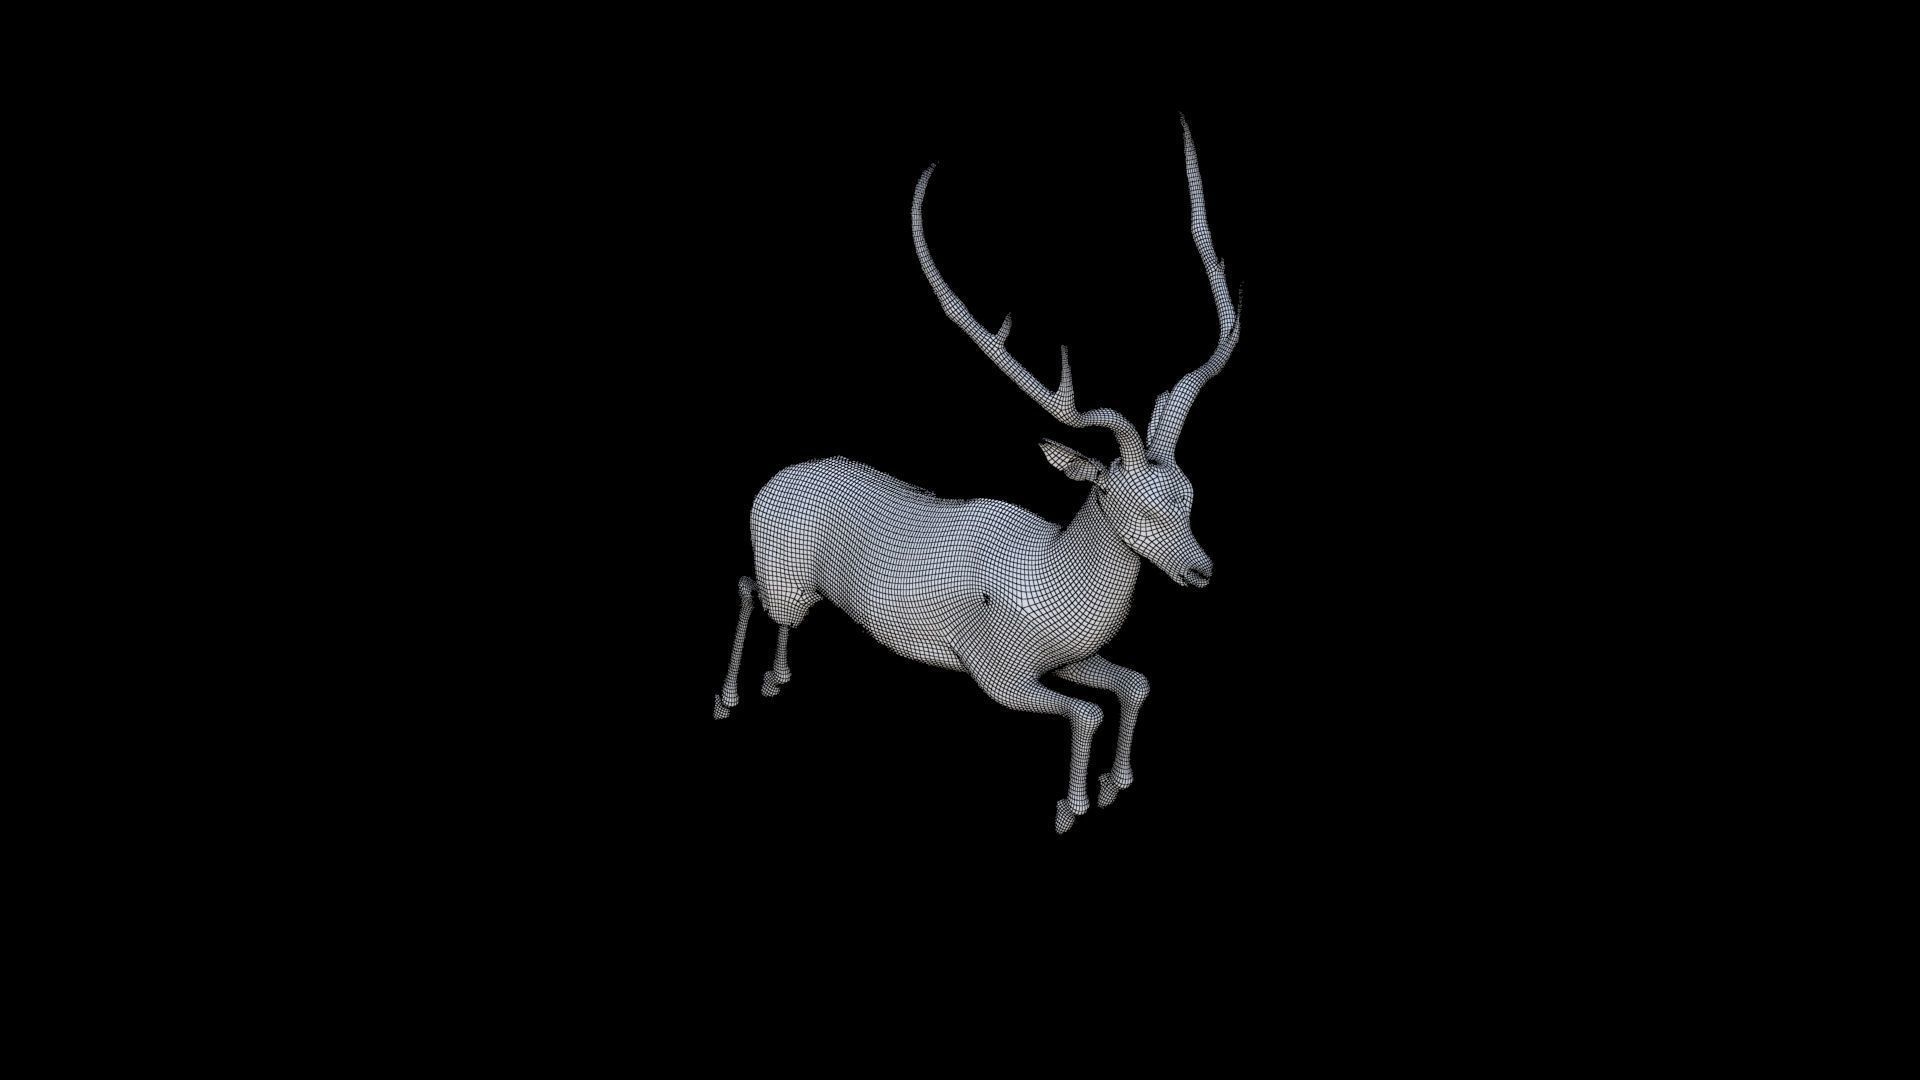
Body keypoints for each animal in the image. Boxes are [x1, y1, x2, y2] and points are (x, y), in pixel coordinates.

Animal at [712, 116, 1242, 834]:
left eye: (1189, 495)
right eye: (1125, 501)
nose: (1200, 571)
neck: (1051, 572)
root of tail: (774, 479)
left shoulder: (1074, 656)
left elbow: (1135, 685)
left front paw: (1116, 784)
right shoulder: (997, 670)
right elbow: (1087, 711)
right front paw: (1072, 807)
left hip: (803, 586)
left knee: (784, 612)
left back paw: (776, 679)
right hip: (781, 571)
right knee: (747, 586)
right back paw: (729, 697)